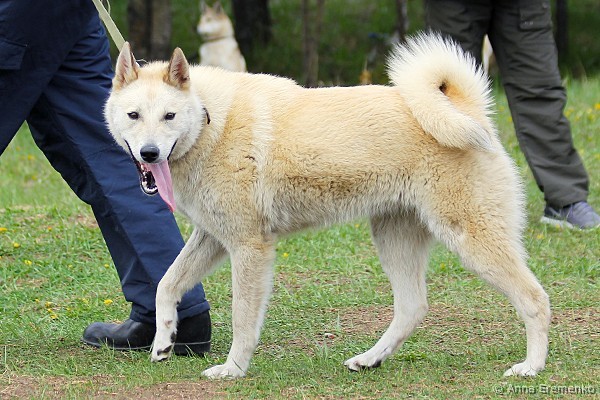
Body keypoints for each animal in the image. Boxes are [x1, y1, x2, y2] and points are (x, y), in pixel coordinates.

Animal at [105, 33, 550, 380]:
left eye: (169, 116)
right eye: (133, 115)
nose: (149, 153)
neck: (210, 121)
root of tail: (466, 111)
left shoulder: (249, 247)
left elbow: (243, 318)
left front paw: (233, 369)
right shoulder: (213, 237)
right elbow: (166, 284)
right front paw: (163, 340)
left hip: (471, 239)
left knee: (535, 300)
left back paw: (531, 367)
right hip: (394, 238)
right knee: (412, 308)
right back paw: (369, 360)